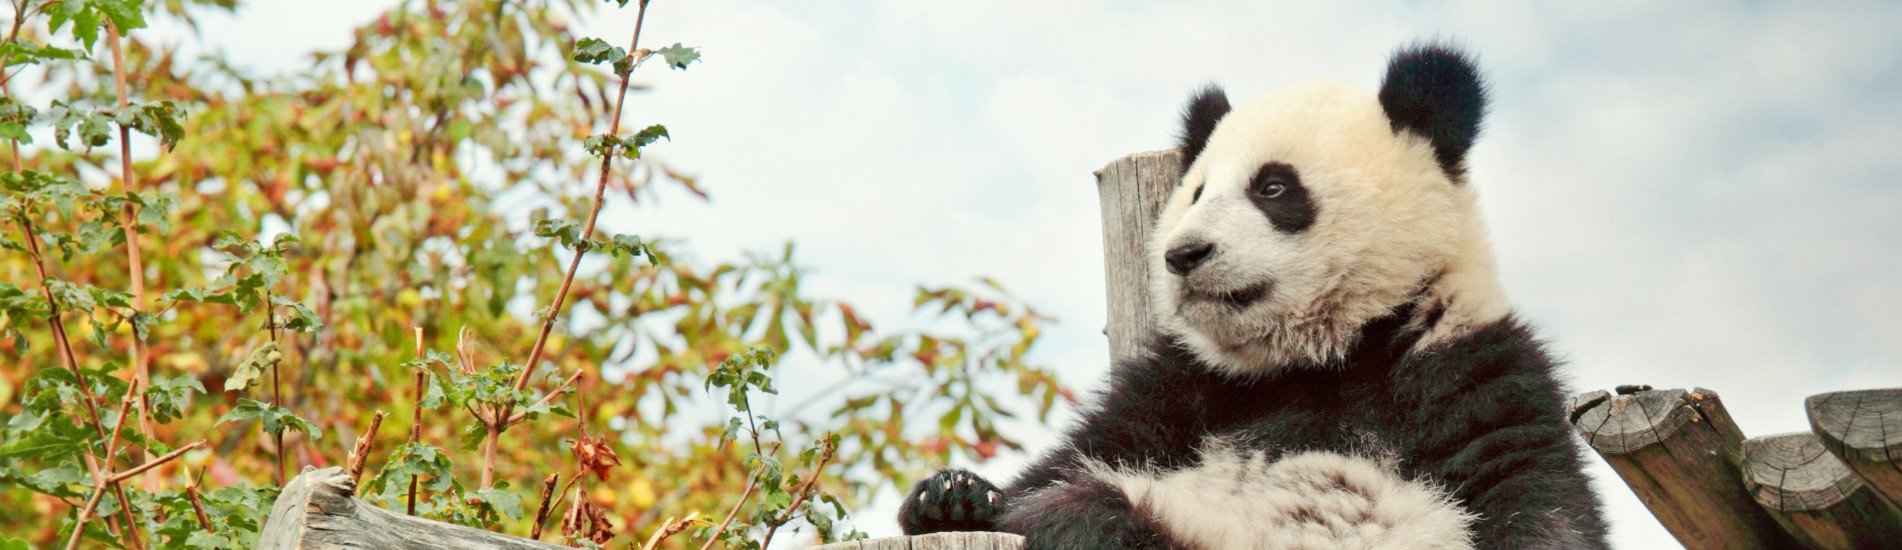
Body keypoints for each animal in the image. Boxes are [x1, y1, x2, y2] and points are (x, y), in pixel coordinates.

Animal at [897, 43, 1612, 548]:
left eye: (1273, 187)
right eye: (1196, 192)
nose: (1183, 255)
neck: (1322, 354)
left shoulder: (1465, 365)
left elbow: (1534, 494)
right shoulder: (1183, 390)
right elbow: (1083, 449)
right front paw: (951, 495)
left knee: (1096, 515)